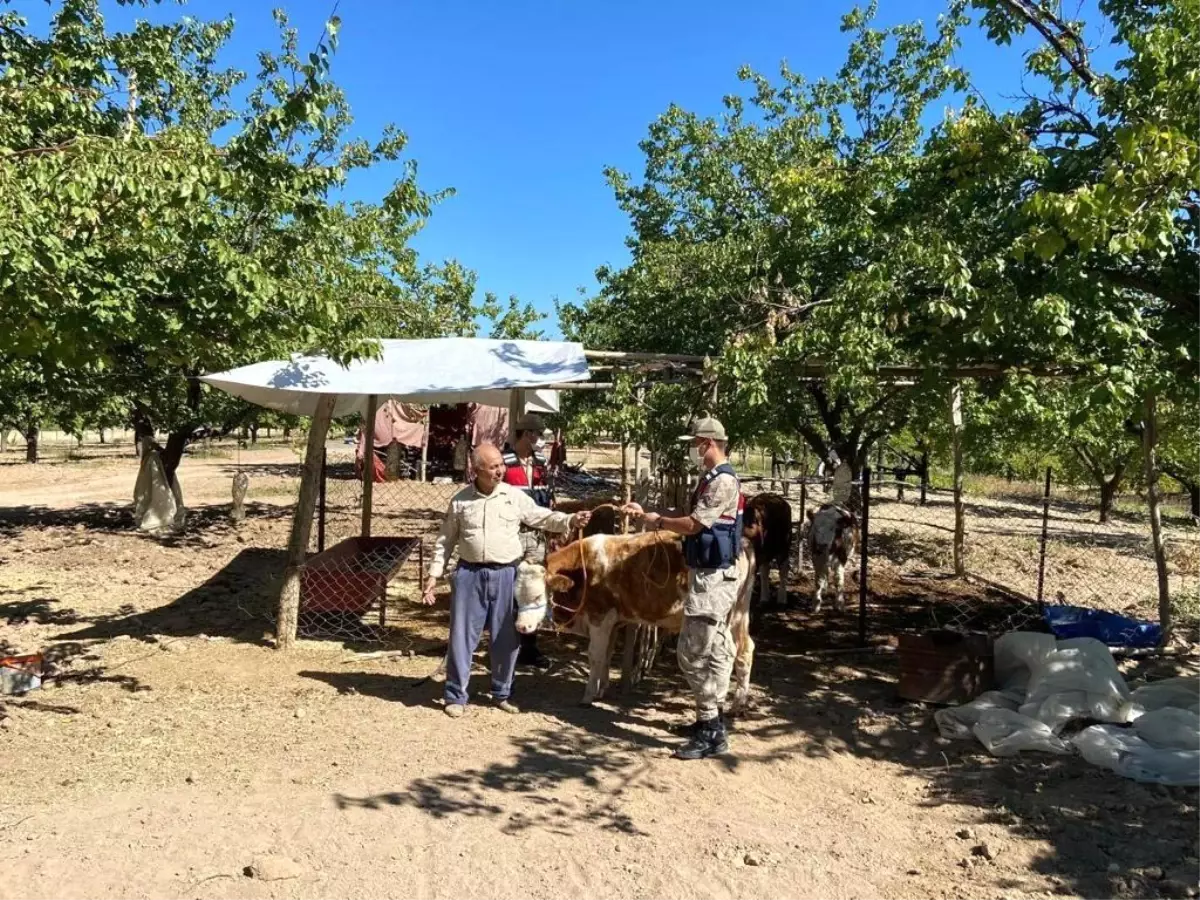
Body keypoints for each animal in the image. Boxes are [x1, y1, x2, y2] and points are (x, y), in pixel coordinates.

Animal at [511, 535, 753, 710]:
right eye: (516, 598)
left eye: (537, 596)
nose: (521, 627)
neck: (583, 570)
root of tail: (743, 543)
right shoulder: (613, 623)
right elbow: (607, 656)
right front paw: (601, 689)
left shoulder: (600, 617)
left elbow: (595, 656)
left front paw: (588, 695)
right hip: (739, 615)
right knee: (745, 650)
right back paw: (737, 704)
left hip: (720, 618)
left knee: (727, 655)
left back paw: (720, 701)